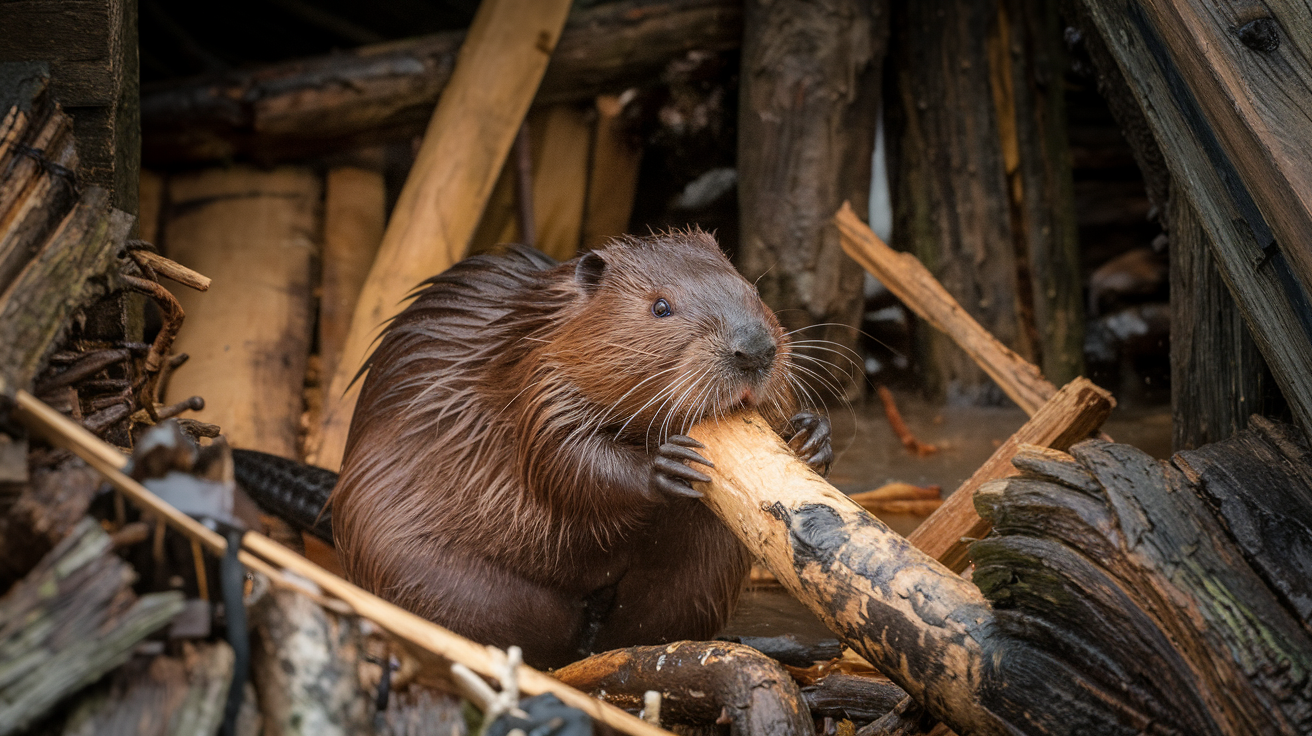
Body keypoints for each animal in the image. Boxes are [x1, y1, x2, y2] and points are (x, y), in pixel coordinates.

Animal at [244, 232, 829, 669]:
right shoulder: (536, 380)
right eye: (661, 306)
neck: (541, 324)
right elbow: (559, 457)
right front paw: (666, 467)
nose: (754, 350)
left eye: (752, 289)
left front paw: (809, 435)